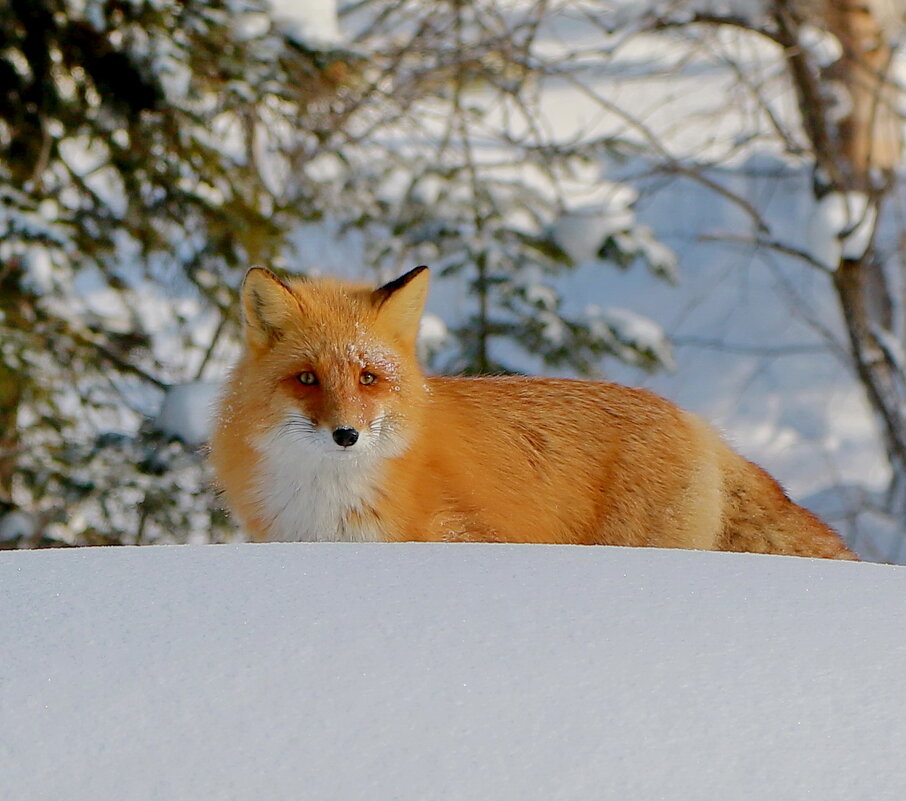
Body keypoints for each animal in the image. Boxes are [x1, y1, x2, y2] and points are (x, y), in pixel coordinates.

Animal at [210, 266, 856, 560]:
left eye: (368, 377)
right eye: (307, 379)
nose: (346, 434)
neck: (329, 499)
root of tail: (695, 421)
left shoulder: (467, 537)